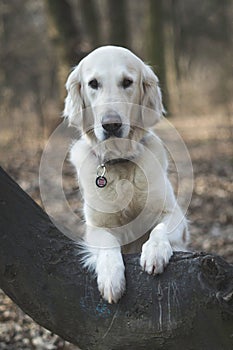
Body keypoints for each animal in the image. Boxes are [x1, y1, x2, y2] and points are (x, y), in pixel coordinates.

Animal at [63, 45, 189, 304]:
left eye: (127, 82)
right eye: (93, 83)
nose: (111, 125)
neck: (120, 160)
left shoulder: (175, 215)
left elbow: (160, 228)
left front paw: (155, 252)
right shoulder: (95, 227)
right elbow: (108, 242)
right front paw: (111, 278)